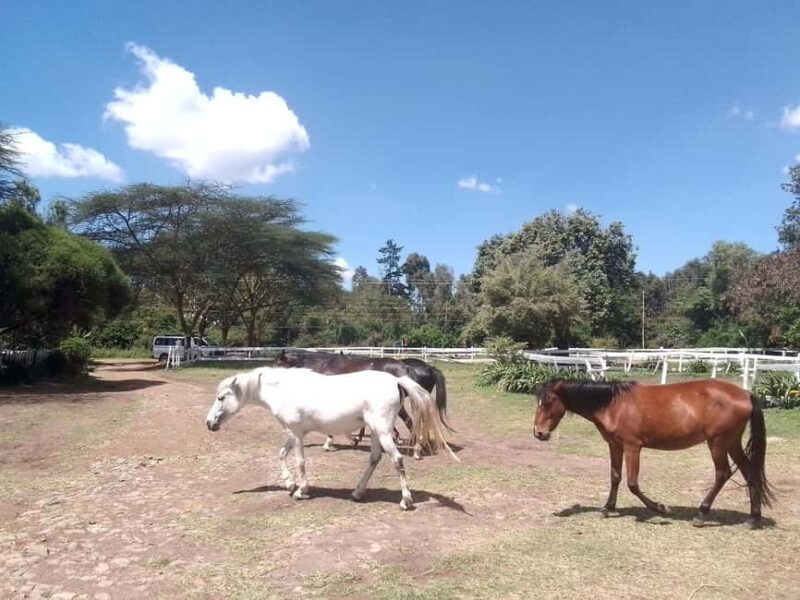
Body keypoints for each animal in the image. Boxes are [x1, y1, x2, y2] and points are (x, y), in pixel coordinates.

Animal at [205, 367, 457, 510]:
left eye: (221, 397)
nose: (209, 423)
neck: (283, 389)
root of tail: (396, 381)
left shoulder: (295, 432)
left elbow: (300, 461)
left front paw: (301, 491)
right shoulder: (294, 433)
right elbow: (281, 454)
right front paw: (289, 484)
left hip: (383, 431)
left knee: (397, 460)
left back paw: (405, 501)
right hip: (376, 431)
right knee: (374, 458)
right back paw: (357, 493)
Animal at [273, 349, 451, 459]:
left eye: (277, 365)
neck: (324, 367)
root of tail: (406, 368)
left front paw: (334, 442)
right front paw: (354, 439)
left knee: (411, 421)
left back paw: (417, 450)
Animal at [533, 378, 774, 529]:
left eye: (548, 402)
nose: (538, 433)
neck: (614, 404)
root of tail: (746, 394)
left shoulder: (632, 447)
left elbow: (632, 484)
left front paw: (660, 508)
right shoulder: (615, 445)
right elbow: (615, 477)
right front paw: (607, 507)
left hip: (717, 442)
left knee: (722, 474)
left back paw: (701, 514)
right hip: (731, 442)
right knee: (750, 472)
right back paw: (754, 519)